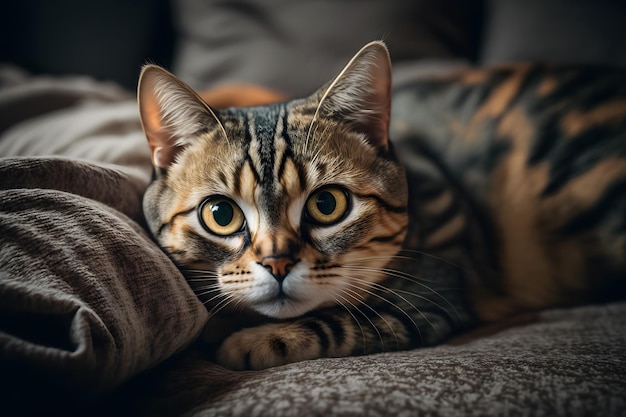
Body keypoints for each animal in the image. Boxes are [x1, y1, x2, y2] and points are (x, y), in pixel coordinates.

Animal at [138, 40, 624, 368]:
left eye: (327, 203)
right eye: (221, 214)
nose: (277, 262)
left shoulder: (432, 299)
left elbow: (342, 320)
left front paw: (251, 341)